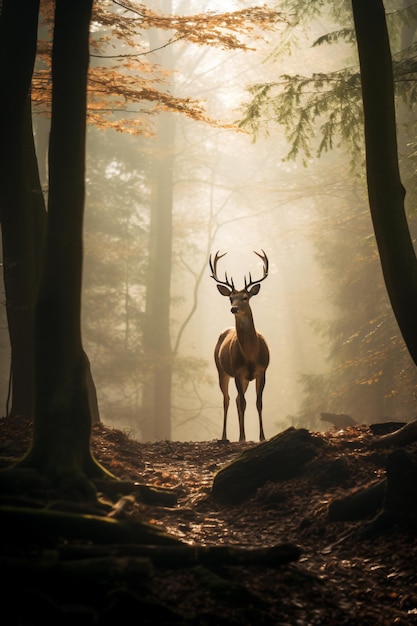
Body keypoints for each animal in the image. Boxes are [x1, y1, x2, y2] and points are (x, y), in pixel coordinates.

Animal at [208, 246, 270, 442]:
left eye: (245, 297)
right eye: (230, 298)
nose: (233, 308)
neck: (251, 356)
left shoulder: (262, 370)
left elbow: (259, 403)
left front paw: (262, 437)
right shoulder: (237, 371)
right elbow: (243, 402)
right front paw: (242, 437)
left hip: (244, 379)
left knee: (235, 399)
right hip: (221, 370)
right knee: (227, 399)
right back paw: (225, 436)